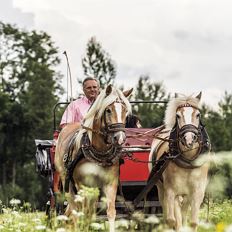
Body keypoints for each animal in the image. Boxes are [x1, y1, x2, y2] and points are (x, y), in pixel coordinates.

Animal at [150, 92, 211, 230]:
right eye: (178, 116)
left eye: (198, 115)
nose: (189, 139)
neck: (188, 160)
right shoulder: (171, 192)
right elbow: (173, 221)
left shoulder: (197, 192)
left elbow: (193, 222)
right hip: (161, 188)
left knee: (184, 211)